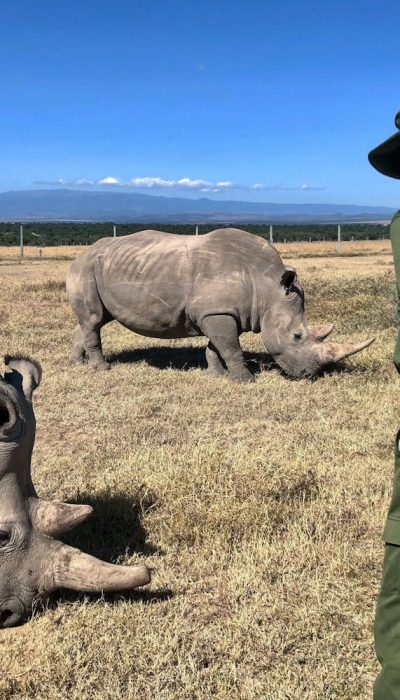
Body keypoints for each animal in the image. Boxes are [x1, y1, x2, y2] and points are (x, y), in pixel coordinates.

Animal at [67, 228, 373, 381]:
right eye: (297, 336)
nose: (308, 375)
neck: (266, 286)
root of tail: (80, 255)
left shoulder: (220, 312)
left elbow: (217, 346)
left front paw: (216, 375)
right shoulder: (217, 312)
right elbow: (230, 347)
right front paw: (245, 380)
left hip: (101, 269)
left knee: (93, 320)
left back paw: (77, 364)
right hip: (85, 269)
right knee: (93, 320)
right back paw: (102, 370)